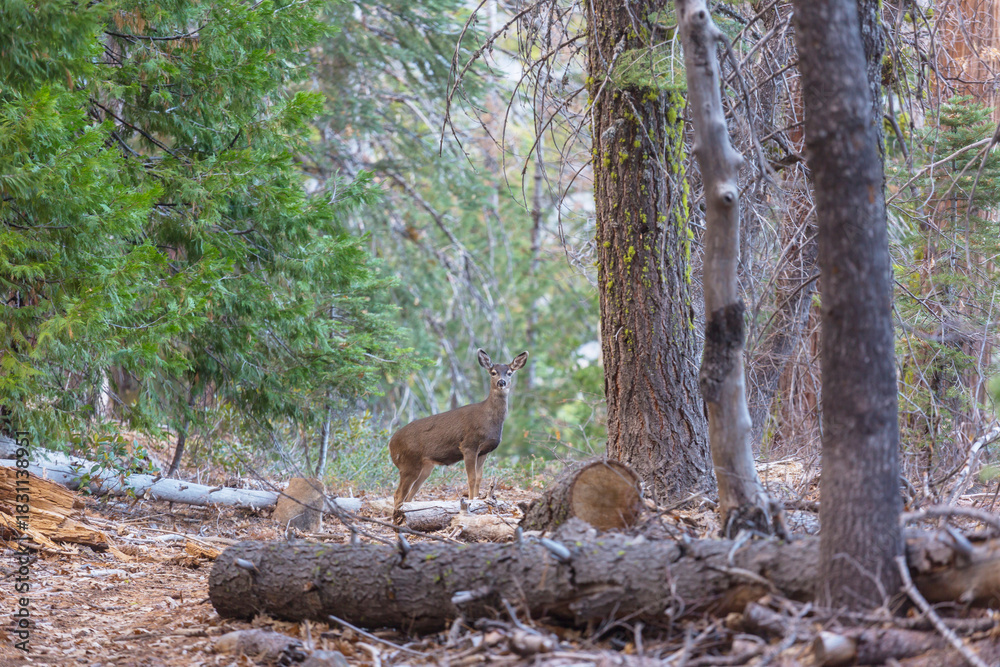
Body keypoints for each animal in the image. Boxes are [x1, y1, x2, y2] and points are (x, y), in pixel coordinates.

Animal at [389, 349, 528, 516]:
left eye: (509, 373)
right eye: (493, 372)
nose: (501, 382)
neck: (489, 420)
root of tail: (391, 444)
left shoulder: (484, 451)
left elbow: (479, 478)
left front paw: (477, 501)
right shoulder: (469, 445)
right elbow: (471, 478)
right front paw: (472, 503)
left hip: (426, 467)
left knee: (409, 495)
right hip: (408, 463)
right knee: (398, 494)